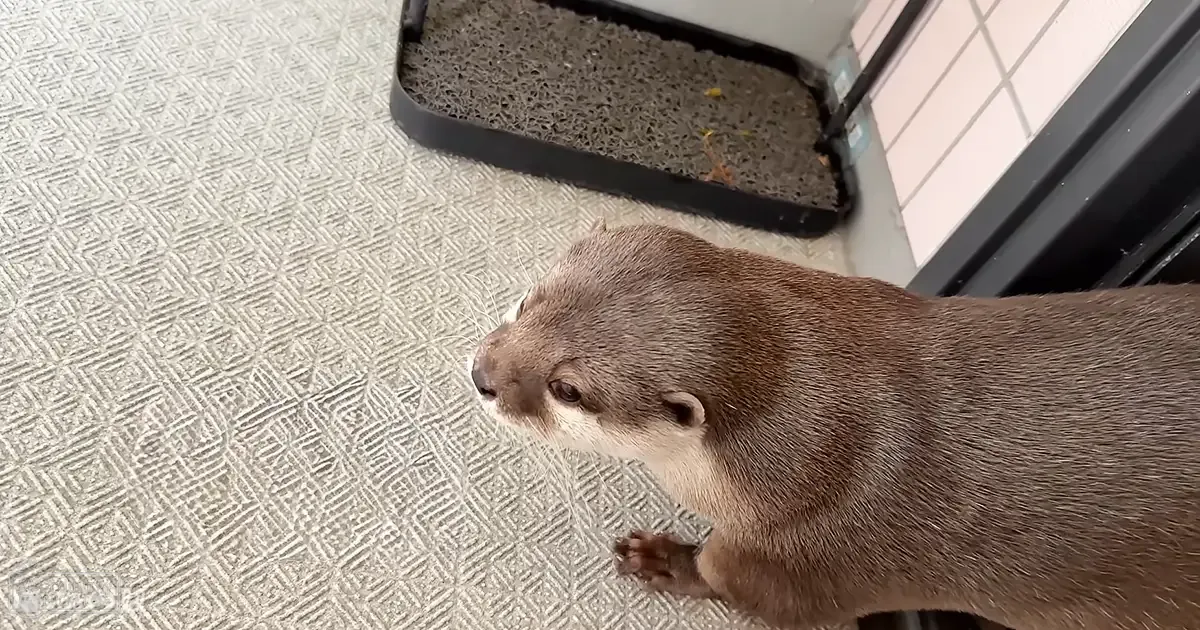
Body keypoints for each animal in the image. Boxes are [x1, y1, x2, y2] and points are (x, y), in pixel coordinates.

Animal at [467, 222, 1200, 630]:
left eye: (568, 389)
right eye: (528, 302)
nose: (483, 375)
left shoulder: (815, 552)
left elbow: (749, 586)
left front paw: (664, 560)